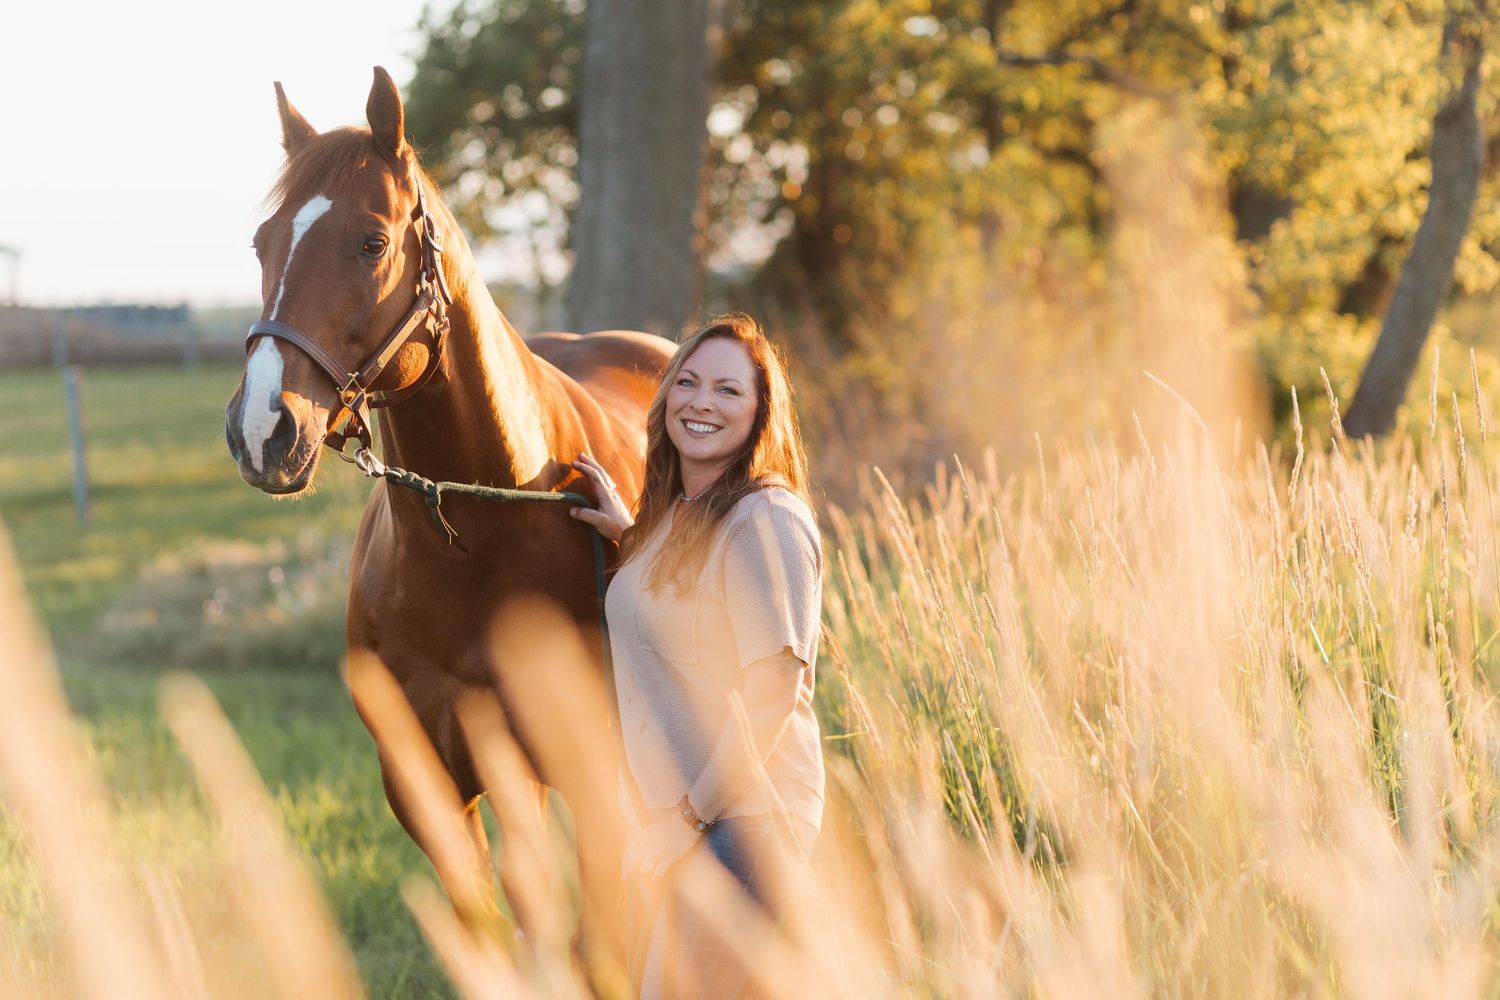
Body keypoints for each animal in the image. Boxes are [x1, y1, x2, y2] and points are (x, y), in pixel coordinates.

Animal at [224, 67, 673, 959]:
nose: (262, 430)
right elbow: (495, 931)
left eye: (372, 242)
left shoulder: (592, 766)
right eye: (262, 245)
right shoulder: (426, 783)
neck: (478, 537)